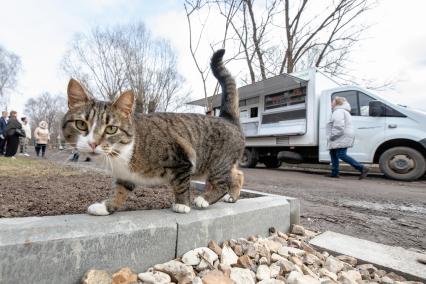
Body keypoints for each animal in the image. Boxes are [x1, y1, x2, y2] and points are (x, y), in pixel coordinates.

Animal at [61, 48, 245, 214]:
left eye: (111, 129)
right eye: (81, 124)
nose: (93, 143)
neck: (124, 152)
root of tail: (226, 118)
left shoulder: (182, 156)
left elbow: (181, 184)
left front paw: (182, 205)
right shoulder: (126, 175)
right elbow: (121, 190)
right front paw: (107, 207)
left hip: (217, 162)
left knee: (222, 182)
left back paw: (205, 199)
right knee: (238, 174)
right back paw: (233, 196)